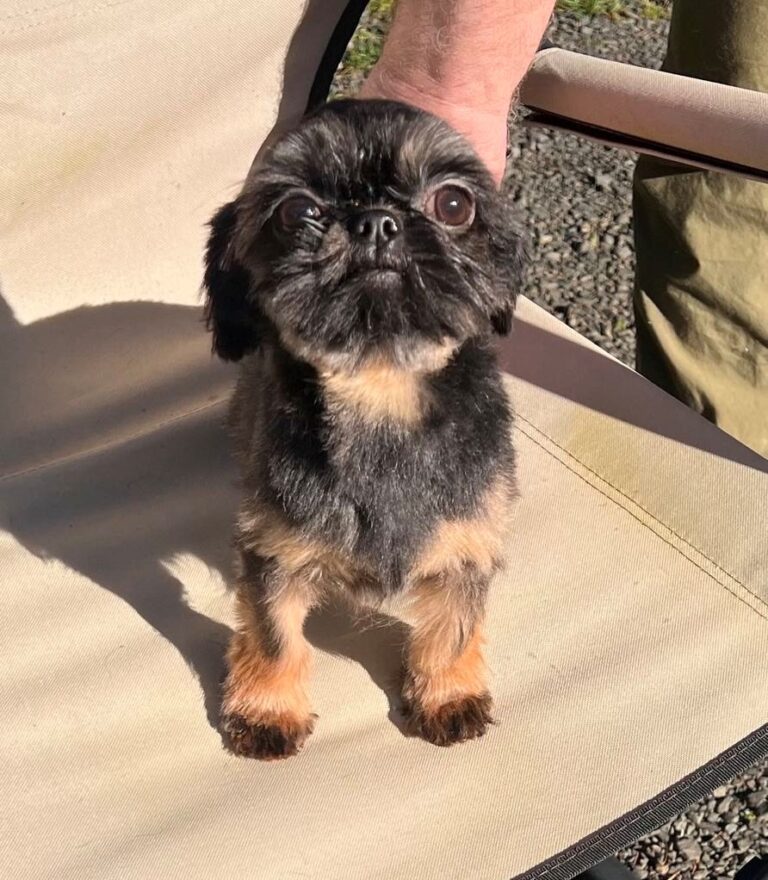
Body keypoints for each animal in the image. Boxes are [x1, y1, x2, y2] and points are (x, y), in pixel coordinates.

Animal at [202, 94, 528, 756]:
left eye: (453, 204)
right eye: (297, 210)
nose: (376, 221)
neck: (381, 399)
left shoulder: (469, 541)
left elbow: (454, 626)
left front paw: (448, 692)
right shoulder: (273, 547)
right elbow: (275, 635)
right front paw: (267, 708)